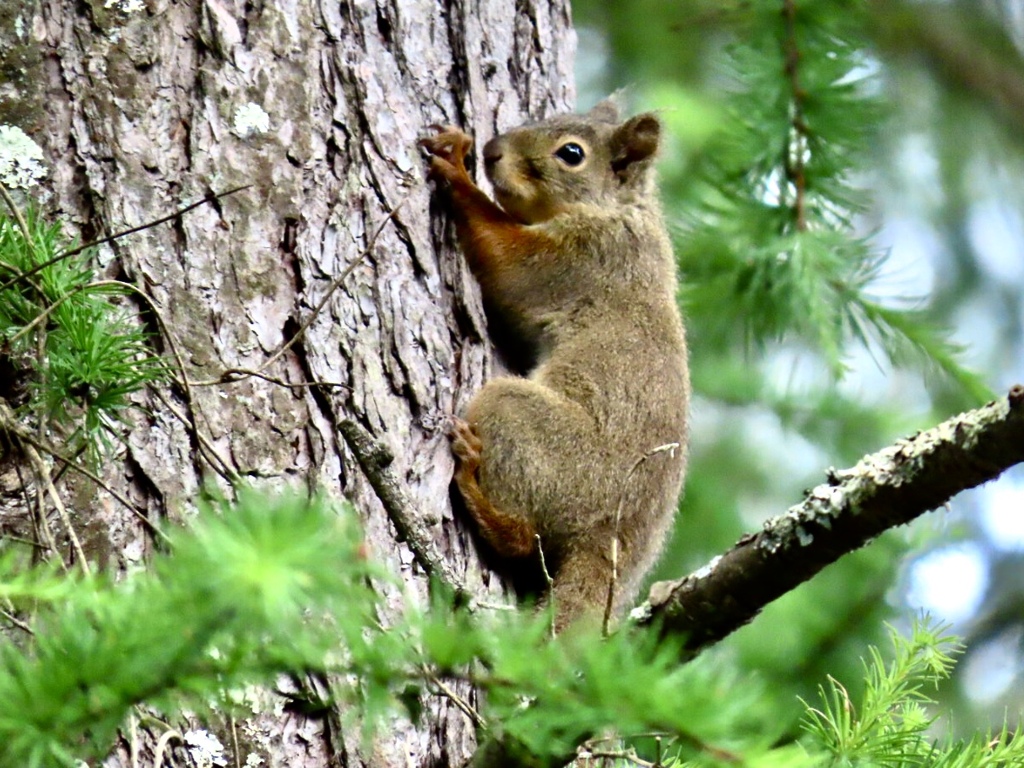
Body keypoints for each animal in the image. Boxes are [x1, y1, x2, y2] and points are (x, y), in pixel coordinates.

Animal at [419, 100, 692, 630]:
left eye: (571, 154)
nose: (491, 150)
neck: (619, 210)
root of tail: (612, 535)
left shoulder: (582, 258)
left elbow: (506, 258)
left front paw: (458, 172)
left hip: (521, 420)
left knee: (524, 539)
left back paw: (476, 489)